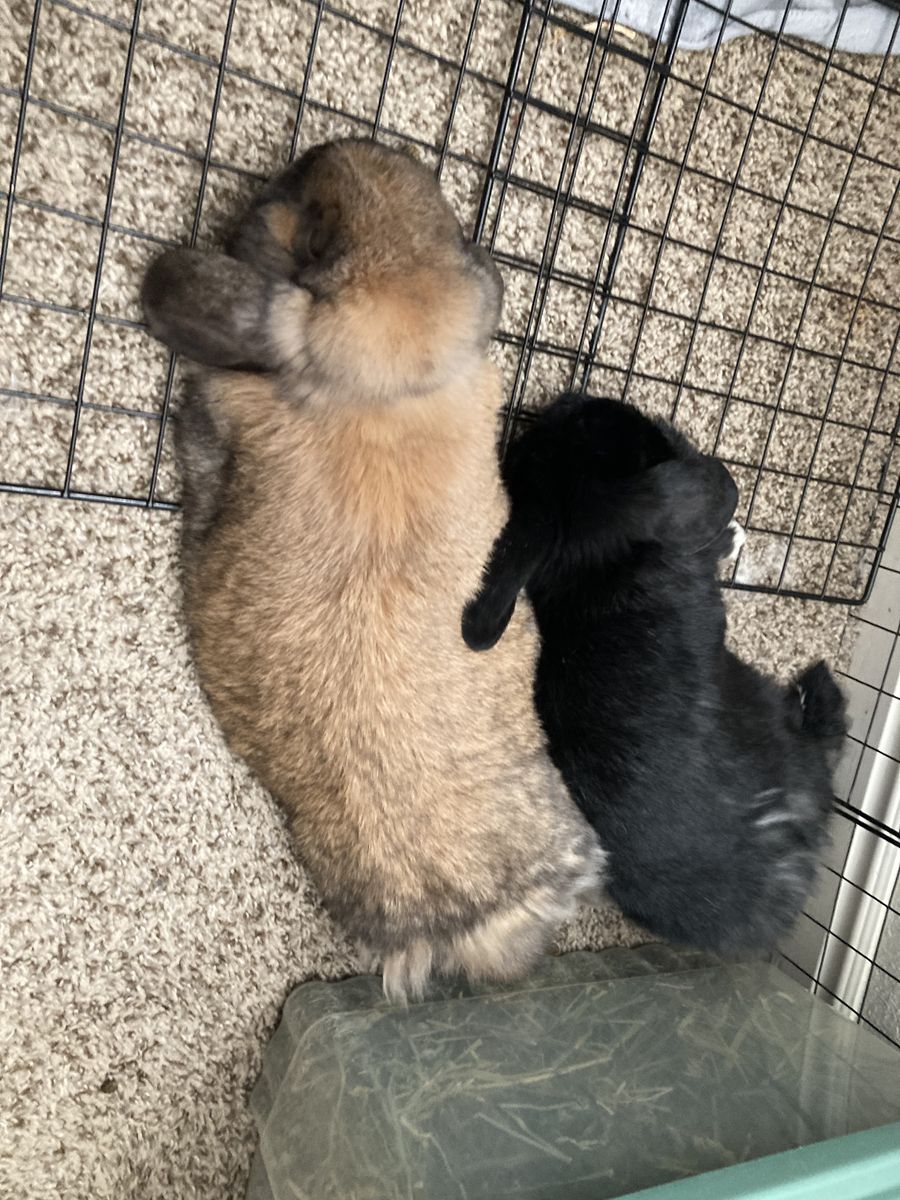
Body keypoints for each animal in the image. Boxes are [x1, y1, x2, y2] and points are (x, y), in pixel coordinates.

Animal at [463, 392, 847, 957]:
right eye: (634, 434)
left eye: (577, 417)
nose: (569, 397)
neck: (591, 566)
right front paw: (730, 534)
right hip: (777, 725)